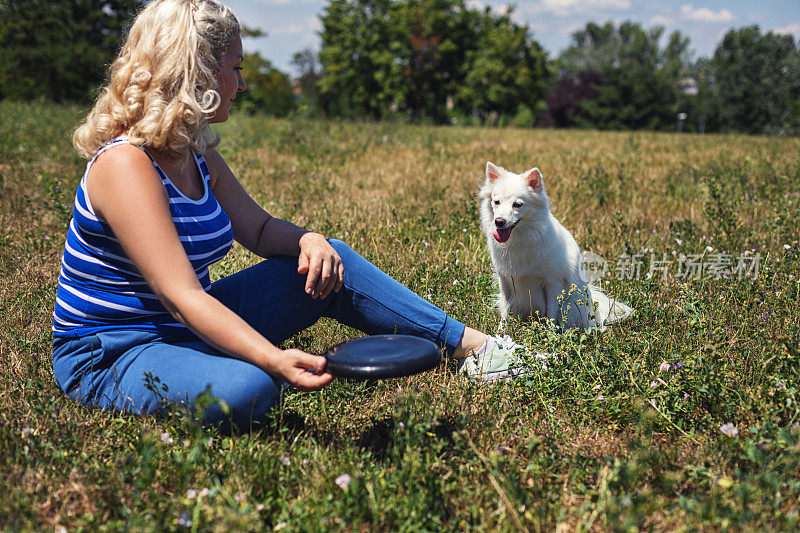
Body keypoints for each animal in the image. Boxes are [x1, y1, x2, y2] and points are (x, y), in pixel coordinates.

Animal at [482, 160, 632, 330]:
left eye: (517, 204)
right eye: (496, 202)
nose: (499, 221)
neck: (520, 237)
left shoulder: (552, 283)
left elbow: (551, 314)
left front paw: (549, 333)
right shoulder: (506, 280)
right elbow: (506, 309)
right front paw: (501, 330)